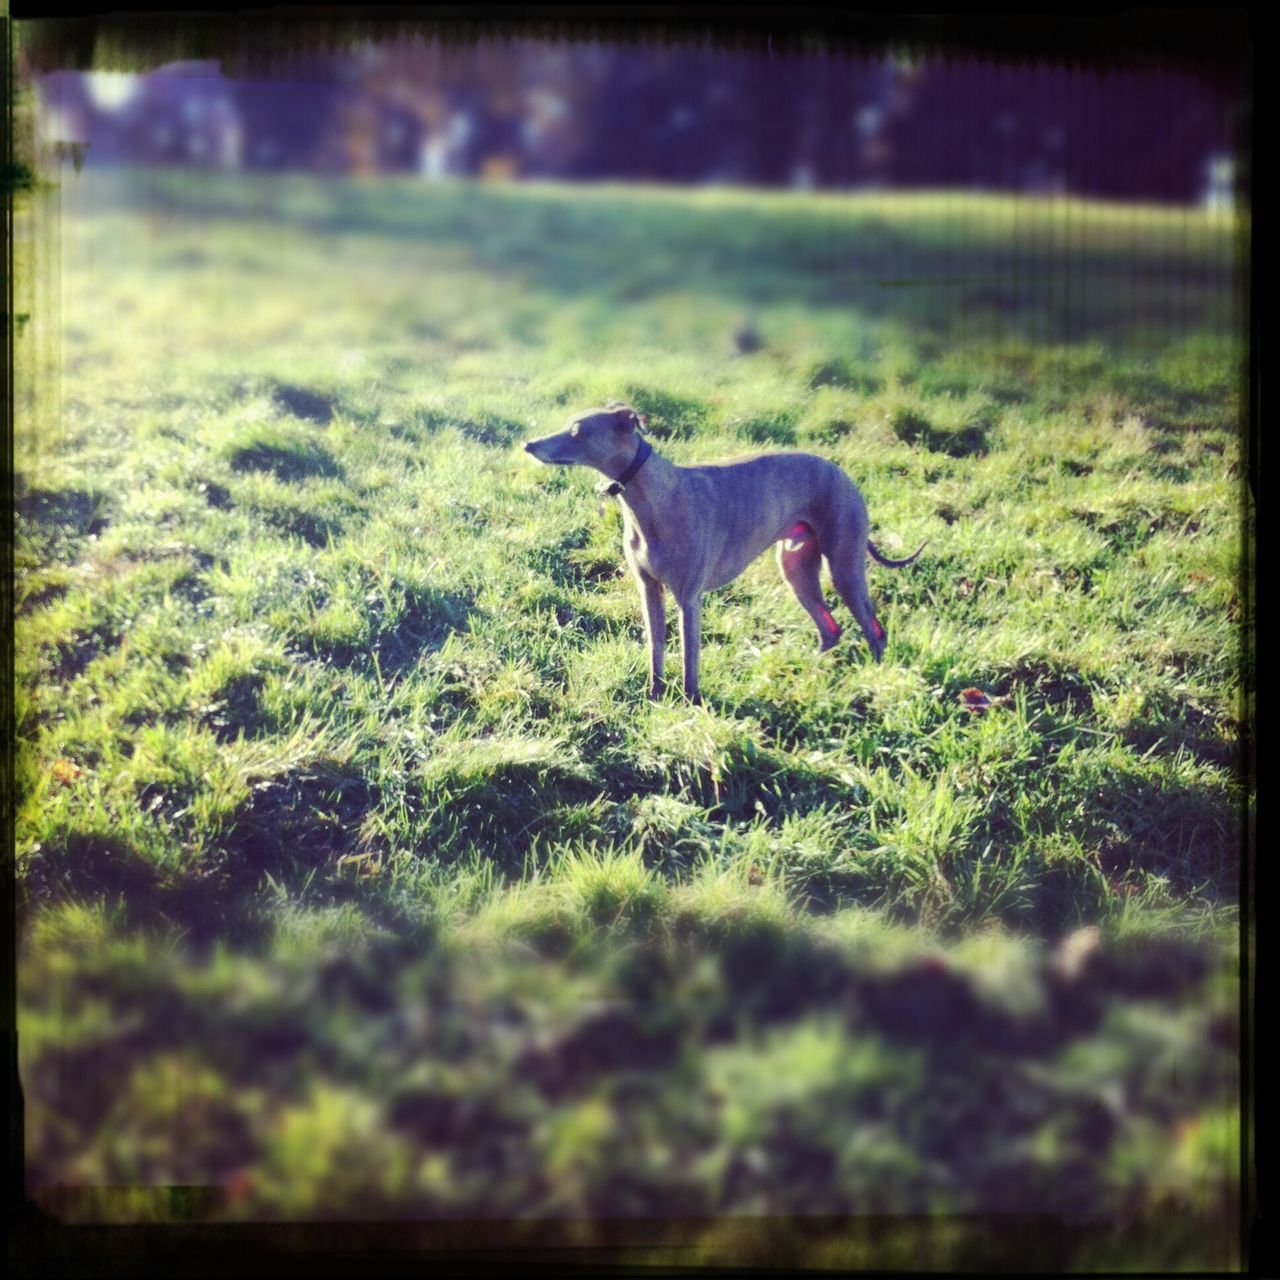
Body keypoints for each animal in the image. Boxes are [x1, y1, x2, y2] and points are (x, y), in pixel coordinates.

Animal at [524, 401, 926, 706]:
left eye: (576, 431)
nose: (529, 445)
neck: (651, 496)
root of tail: (845, 476)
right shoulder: (649, 590)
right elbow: (655, 648)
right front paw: (654, 697)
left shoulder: (689, 599)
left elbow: (690, 658)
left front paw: (690, 704)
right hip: (796, 568)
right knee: (831, 628)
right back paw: (812, 674)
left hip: (844, 565)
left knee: (874, 630)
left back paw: (874, 683)